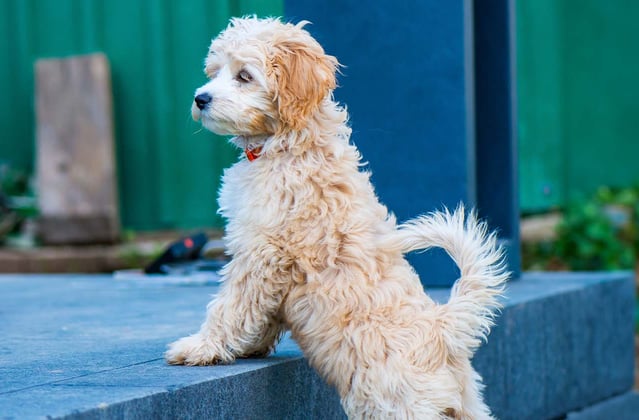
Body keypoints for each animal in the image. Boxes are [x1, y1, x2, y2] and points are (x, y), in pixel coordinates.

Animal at [166, 17, 510, 420]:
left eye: (244, 76)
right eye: (215, 71)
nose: (200, 99)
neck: (292, 143)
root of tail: (443, 331)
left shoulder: (262, 252)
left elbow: (232, 305)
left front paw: (200, 347)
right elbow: (261, 312)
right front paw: (251, 347)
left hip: (396, 406)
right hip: (466, 405)